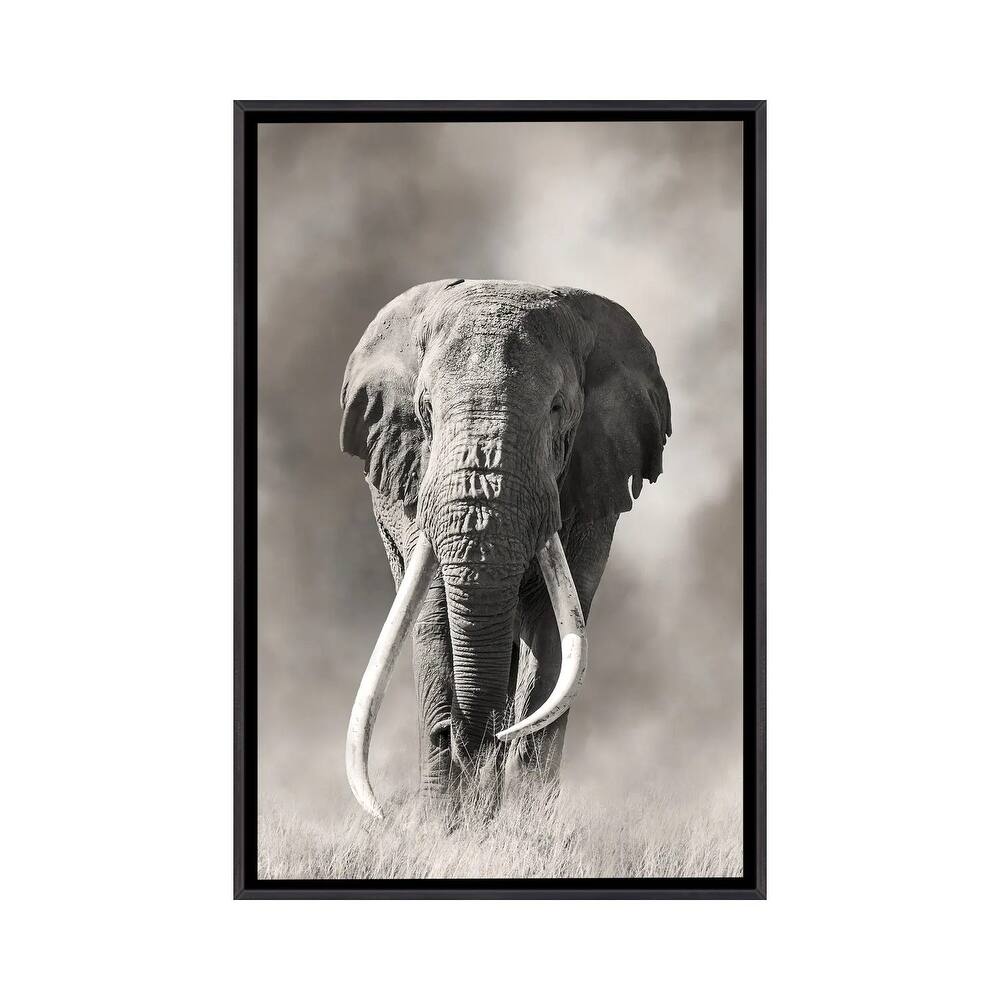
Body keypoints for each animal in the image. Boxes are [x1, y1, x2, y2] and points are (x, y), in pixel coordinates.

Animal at [340, 279, 671, 819]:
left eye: (558, 410)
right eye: (425, 411)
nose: (459, 736)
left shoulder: (591, 486)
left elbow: (556, 631)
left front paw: (523, 819)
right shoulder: (414, 482)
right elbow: (433, 615)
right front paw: (443, 822)